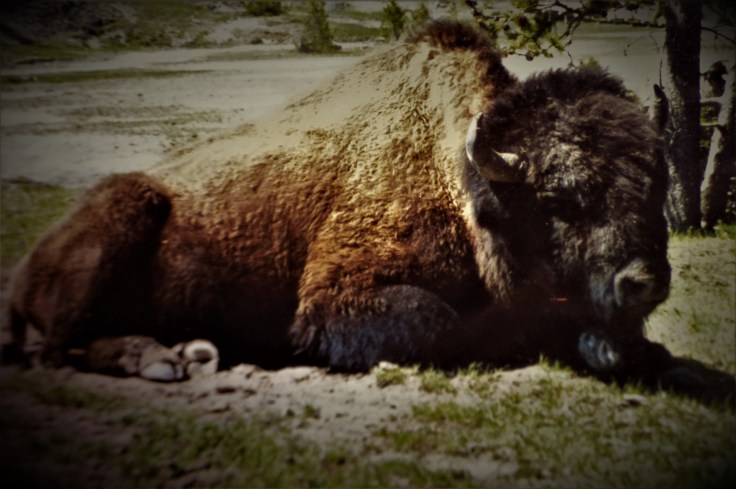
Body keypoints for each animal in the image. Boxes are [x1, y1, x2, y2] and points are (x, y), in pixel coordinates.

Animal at [2, 21, 733, 400]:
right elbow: (441, 324)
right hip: (120, 219)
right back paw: (165, 360)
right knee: (58, 347)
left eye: (656, 188)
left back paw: (194, 352)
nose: (642, 281)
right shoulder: (337, 297)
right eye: (558, 198)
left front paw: (636, 349)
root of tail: (24, 269)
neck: (468, 182)